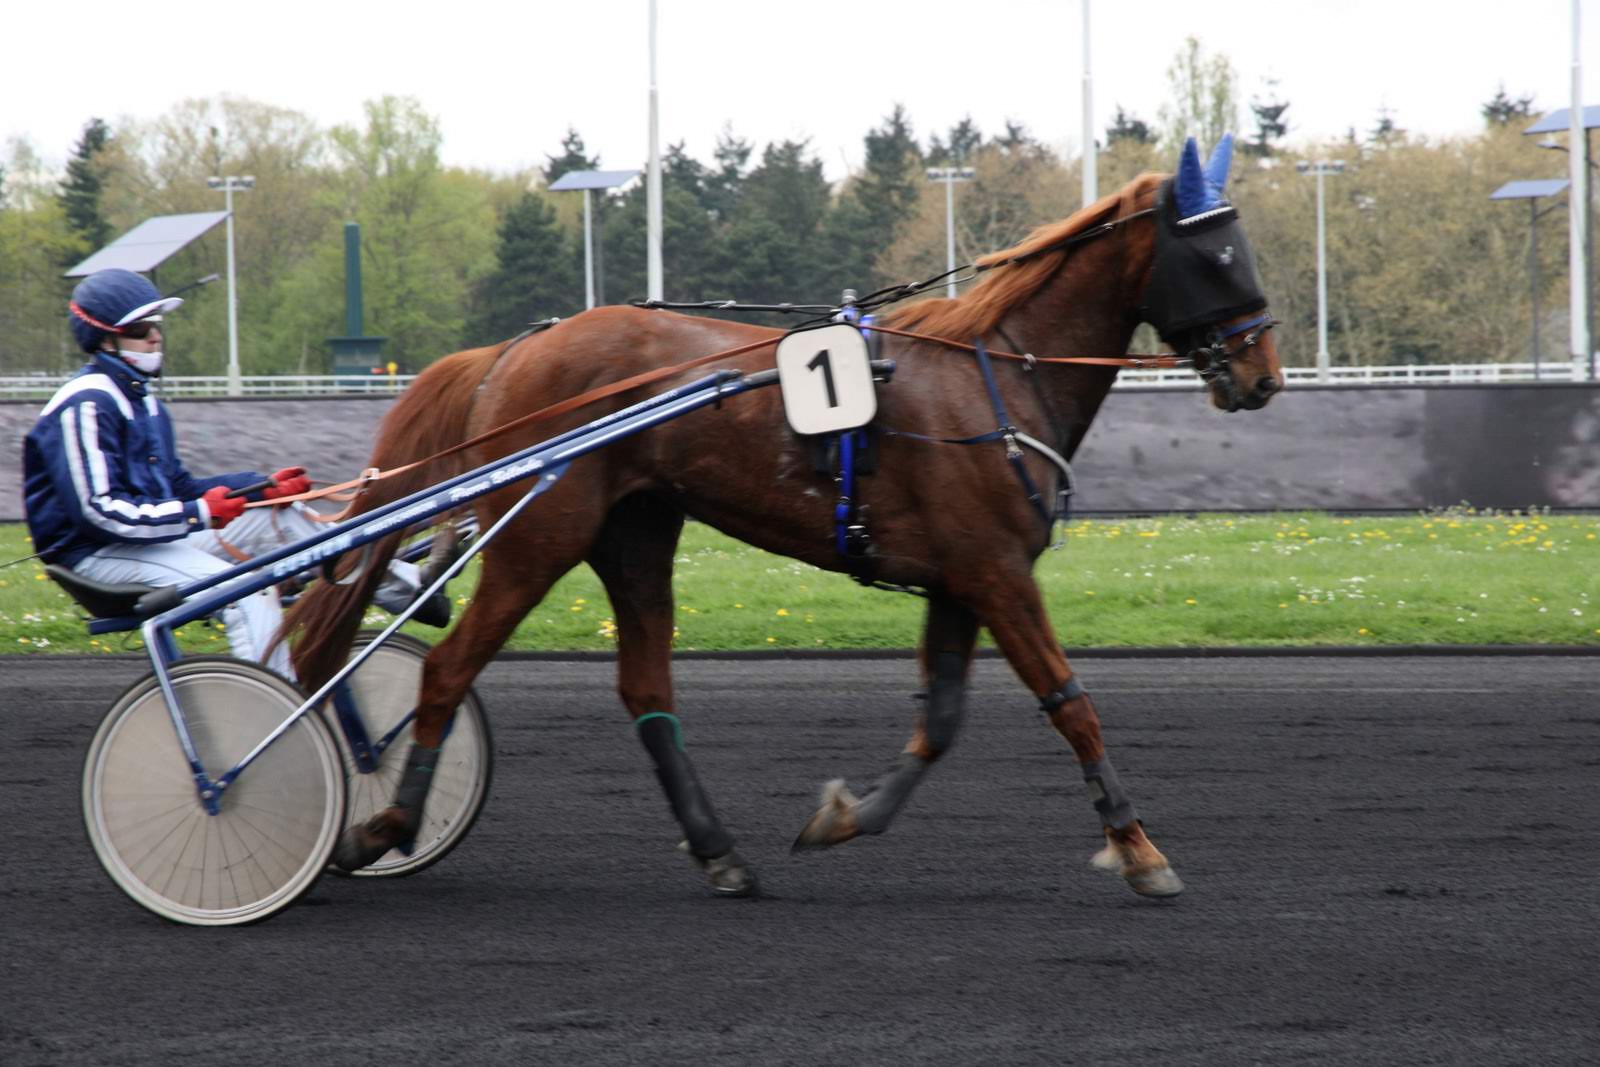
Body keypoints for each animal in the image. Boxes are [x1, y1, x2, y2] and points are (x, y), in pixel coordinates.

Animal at [288, 143, 1286, 902]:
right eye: (1219, 253)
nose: (1264, 374)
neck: (991, 378)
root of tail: (514, 350)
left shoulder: (961, 579)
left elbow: (942, 721)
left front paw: (844, 817)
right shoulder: (998, 570)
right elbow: (1070, 702)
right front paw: (1139, 849)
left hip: (636, 535)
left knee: (646, 689)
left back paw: (720, 850)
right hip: (540, 537)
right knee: (449, 669)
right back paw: (385, 825)